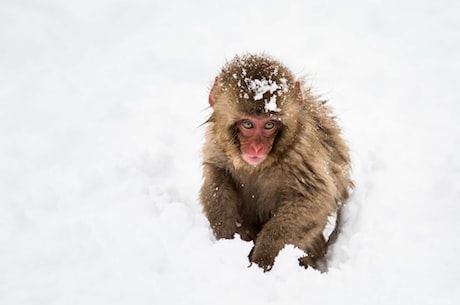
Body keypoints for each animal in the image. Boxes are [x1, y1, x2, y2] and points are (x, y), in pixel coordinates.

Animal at [199, 53, 354, 270]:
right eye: (248, 124)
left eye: (269, 125)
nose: (256, 148)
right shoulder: (218, 146)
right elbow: (217, 178)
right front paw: (226, 239)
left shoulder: (302, 153)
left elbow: (314, 199)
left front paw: (262, 258)